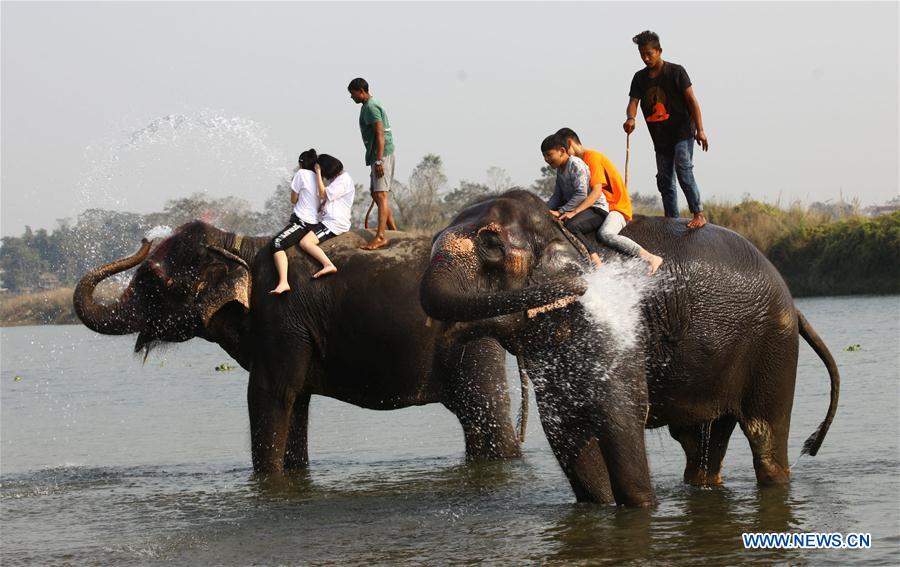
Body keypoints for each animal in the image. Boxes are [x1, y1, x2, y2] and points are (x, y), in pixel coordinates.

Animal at [74, 221, 524, 474]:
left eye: (153, 282)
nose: (143, 239)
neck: (239, 244)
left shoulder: (281, 317)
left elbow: (269, 395)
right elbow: (296, 403)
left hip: (472, 342)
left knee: (486, 418)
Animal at [420, 189, 840, 507]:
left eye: (491, 244)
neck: (561, 233)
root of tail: (795, 306)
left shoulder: (616, 336)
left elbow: (622, 422)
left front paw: (643, 507)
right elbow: (567, 436)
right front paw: (600, 505)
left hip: (772, 343)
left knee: (764, 435)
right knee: (701, 442)